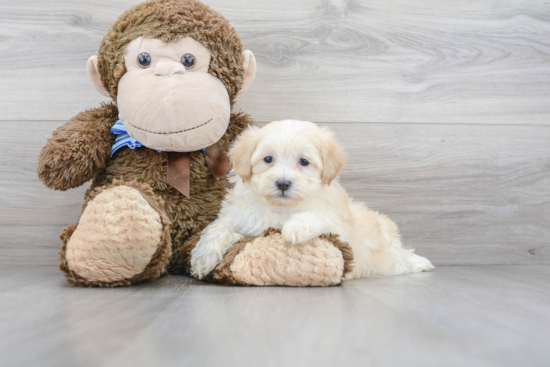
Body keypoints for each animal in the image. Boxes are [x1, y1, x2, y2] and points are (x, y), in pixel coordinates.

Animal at [191, 121, 436, 278]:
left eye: (304, 162)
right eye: (268, 159)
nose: (283, 183)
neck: (282, 208)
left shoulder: (338, 226)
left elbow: (317, 215)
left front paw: (294, 229)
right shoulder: (238, 216)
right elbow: (218, 227)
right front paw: (202, 258)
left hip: (385, 254)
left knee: (399, 259)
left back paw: (418, 262)